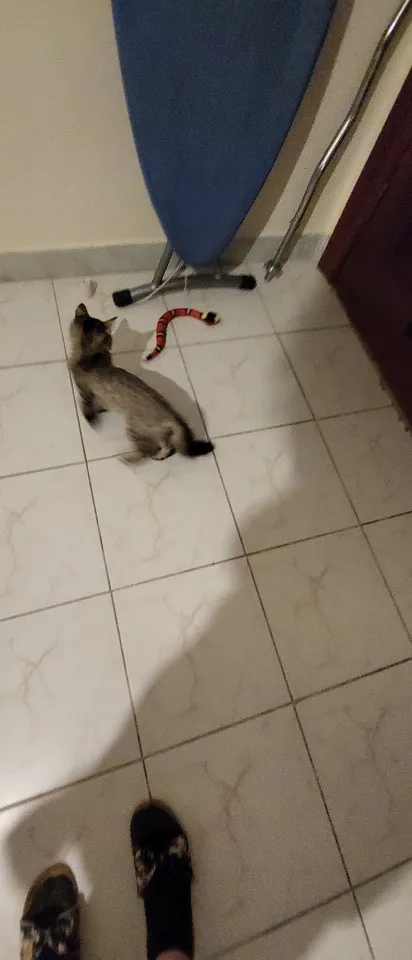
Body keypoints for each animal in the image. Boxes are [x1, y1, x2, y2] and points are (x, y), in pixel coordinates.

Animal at [69, 304, 214, 463]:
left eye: (110, 338)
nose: (110, 343)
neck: (90, 355)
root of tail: (174, 418)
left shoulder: (84, 390)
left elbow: (86, 408)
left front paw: (91, 421)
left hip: (134, 428)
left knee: (144, 452)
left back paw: (128, 459)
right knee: (166, 446)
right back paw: (159, 455)